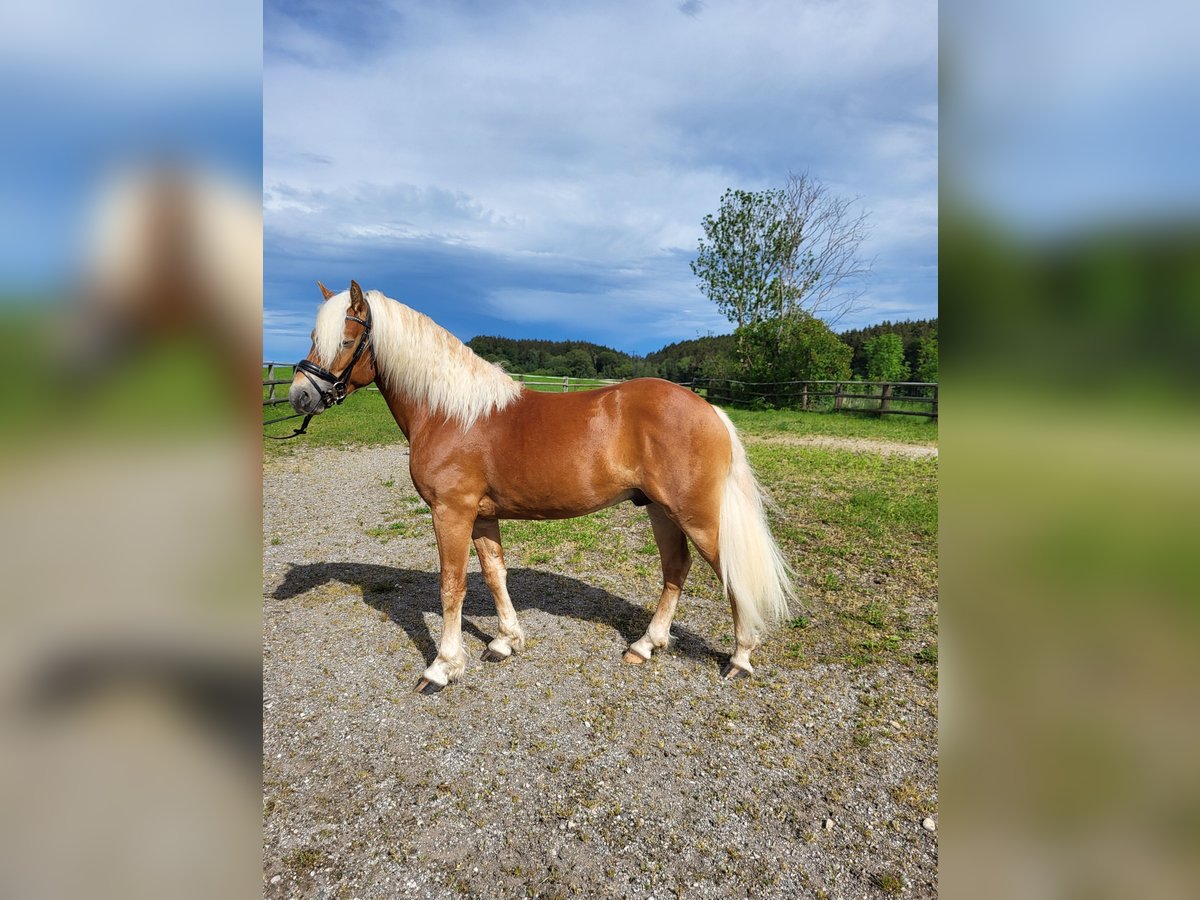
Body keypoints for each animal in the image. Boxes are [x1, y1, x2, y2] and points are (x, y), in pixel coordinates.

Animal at [288, 282, 796, 696]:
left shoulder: (451, 511)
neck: (451, 413)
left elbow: (451, 586)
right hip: (660, 509)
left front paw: (443, 667)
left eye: (346, 340)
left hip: (695, 514)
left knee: (727, 571)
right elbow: (495, 574)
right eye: (314, 337)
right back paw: (646, 645)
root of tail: (709, 409)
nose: (300, 396)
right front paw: (505, 642)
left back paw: (740, 658)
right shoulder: (482, 514)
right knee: (676, 568)